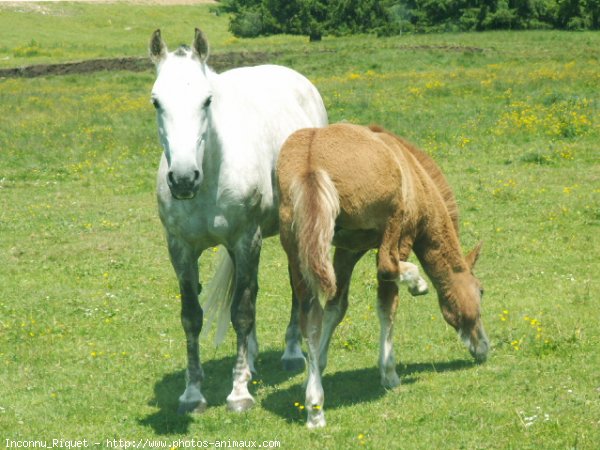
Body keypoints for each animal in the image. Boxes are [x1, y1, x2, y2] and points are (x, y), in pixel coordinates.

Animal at [150, 29, 328, 412]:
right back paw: (253, 358)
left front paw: (239, 392)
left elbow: (242, 311)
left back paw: (292, 352)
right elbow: (192, 316)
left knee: (294, 285)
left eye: (206, 101)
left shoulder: (248, 239)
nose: (183, 179)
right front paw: (192, 393)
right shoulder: (180, 248)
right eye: (156, 102)